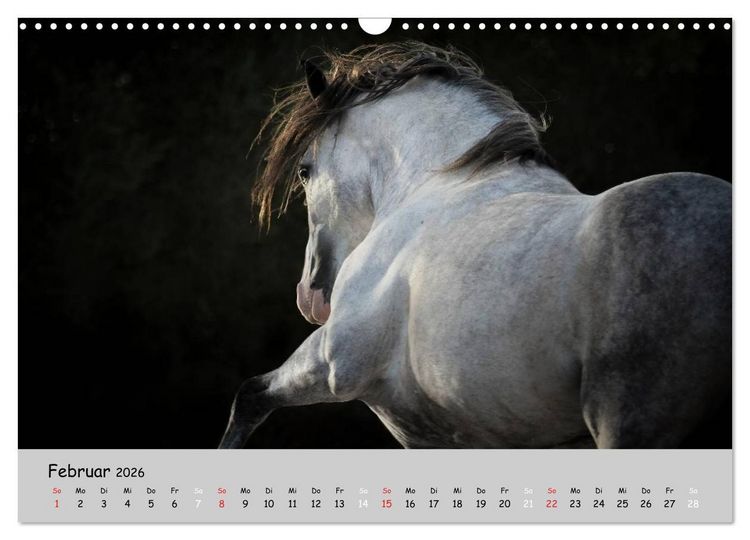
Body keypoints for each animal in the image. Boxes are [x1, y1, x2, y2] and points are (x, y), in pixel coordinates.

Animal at [219, 42, 731, 449]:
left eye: (306, 171)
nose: (311, 296)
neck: (439, 183)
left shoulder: (334, 361)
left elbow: (250, 396)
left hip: (628, 421)